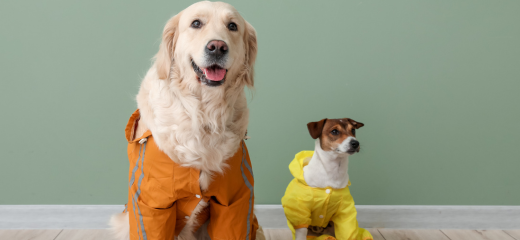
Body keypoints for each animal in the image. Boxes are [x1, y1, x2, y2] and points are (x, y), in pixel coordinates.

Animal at [111, 1, 262, 240]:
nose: (217, 47)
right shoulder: (150, 202)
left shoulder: (236, 197)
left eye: (232, 26)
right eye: (196, 23)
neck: (203, 113)